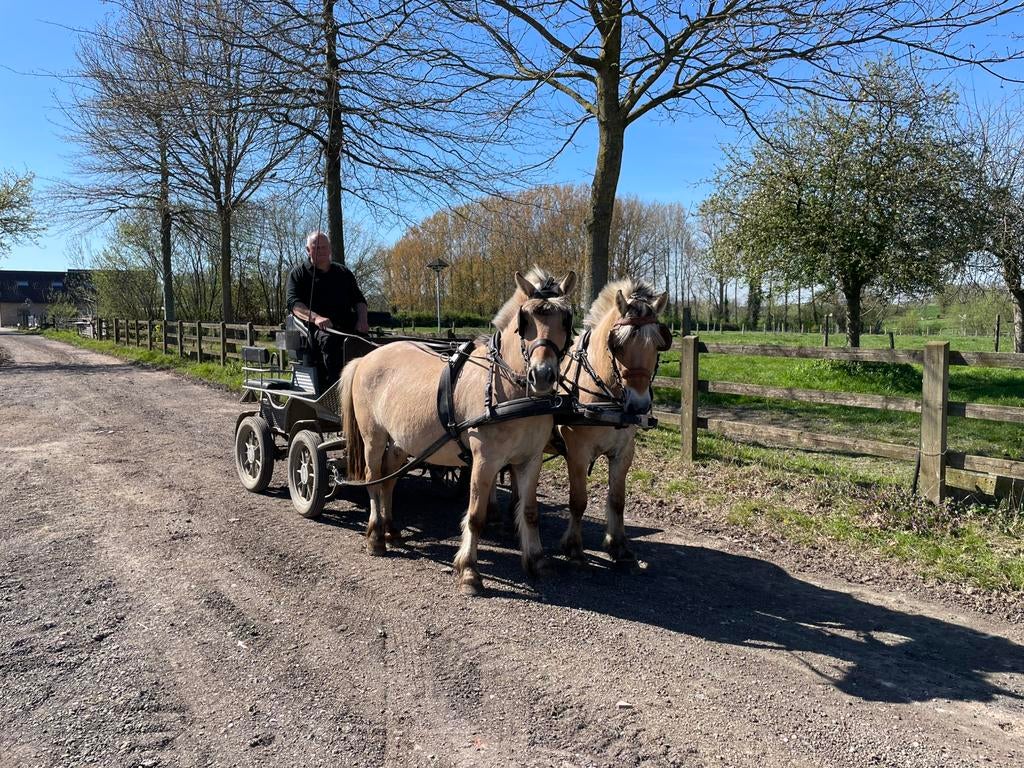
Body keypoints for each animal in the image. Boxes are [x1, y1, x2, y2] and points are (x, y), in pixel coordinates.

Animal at [340, 268, 577, 595]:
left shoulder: (530, 460)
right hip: (373, 438)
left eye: (566, 319)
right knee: (373, 480)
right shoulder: (485, 461)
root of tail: (366, 357)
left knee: (388, 481)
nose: (542, 375)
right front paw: (469, 571)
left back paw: (391, 531)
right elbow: (476, 516)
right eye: (525, 320)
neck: (509, 390)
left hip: (401, 443)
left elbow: (530, 511)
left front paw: (537, 561)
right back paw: (375, 536)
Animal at [557, 279, 672, 565]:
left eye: (658, 344)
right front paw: (573, 546)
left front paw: (617, 544)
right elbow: (578, 500)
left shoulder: (624, 452)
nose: (639, 405)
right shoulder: (577, 453)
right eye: (617, 345)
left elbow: (618, 500)